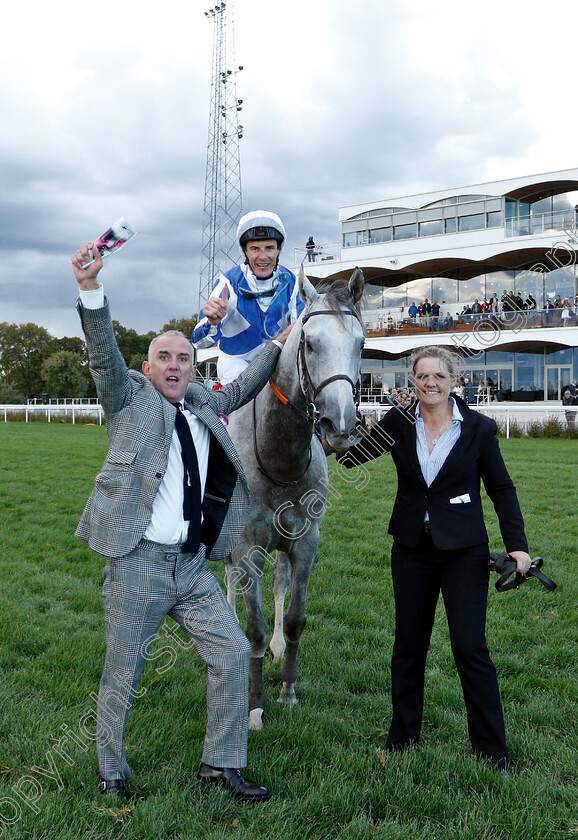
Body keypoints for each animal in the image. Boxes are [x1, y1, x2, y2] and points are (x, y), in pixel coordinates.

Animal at [223, 268, 362, 728]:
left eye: (361, 344)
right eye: (311, 342)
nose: (341, 424)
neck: (277, 457)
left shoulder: (304, 541)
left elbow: (296, 617)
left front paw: (286, 691)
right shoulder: (247, 544)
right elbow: (254, 629)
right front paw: (254, 708)